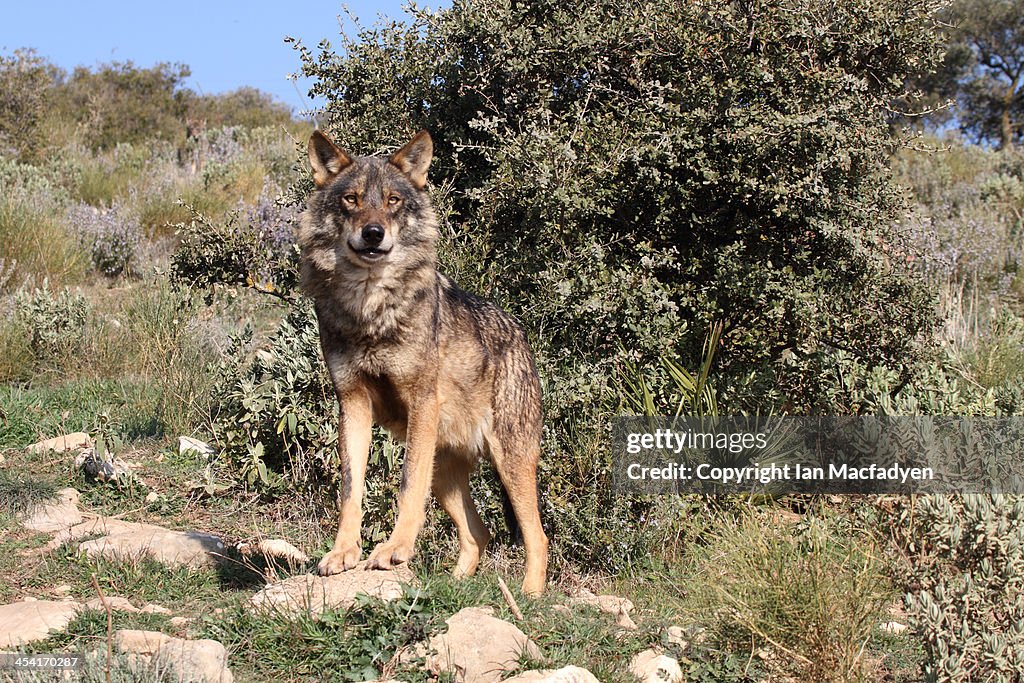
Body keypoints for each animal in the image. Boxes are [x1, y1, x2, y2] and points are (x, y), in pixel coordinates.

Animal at [296, 131, 552, 593]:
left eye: (393, 200)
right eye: (352, 199)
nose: (373, 233)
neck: (371, 312)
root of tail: (520, 334)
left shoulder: (420, 404)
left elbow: (406, 486)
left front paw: (394, 549)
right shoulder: (352, 404)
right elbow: (350, 490)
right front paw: (343, 554)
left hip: (509, 462)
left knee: (536, 536)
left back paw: (530, 597)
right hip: (447, 476)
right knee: (479, 533)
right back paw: (453, 585)